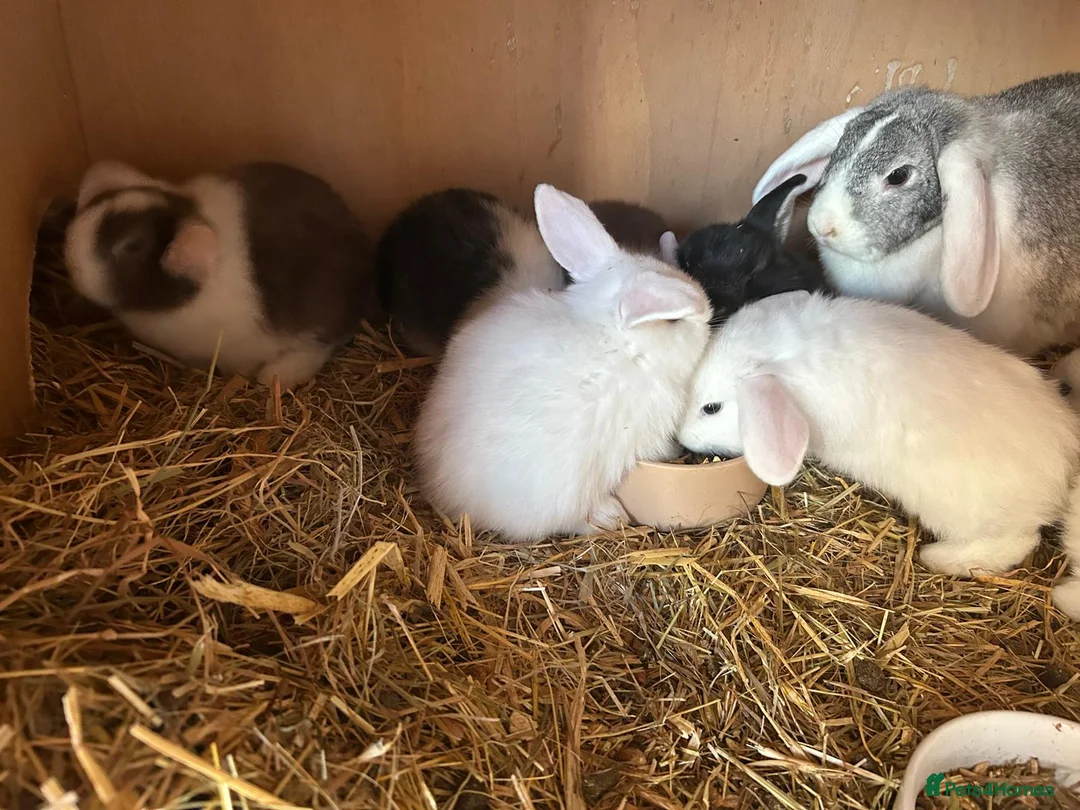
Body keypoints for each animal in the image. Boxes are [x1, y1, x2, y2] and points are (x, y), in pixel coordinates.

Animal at [677, 289, 1080, 618]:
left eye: (711, 408)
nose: (680, 436)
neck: (790, 358)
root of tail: (1064, 457)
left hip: (968, 516)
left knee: (1015, 543)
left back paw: (937, 558)